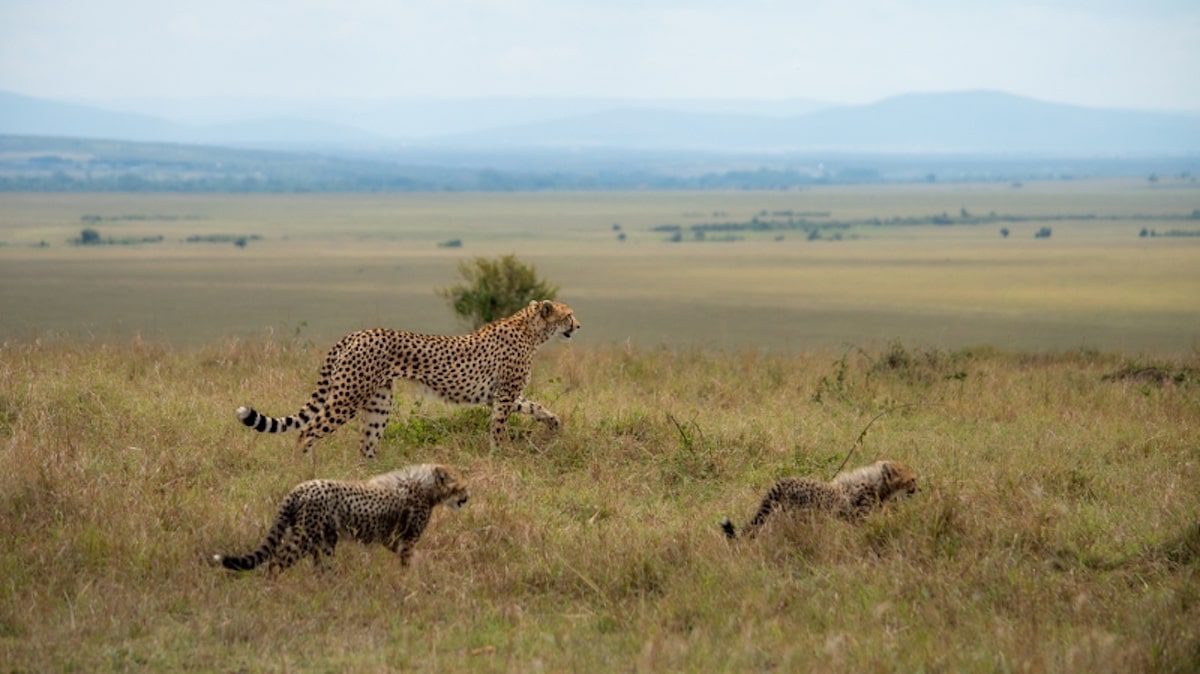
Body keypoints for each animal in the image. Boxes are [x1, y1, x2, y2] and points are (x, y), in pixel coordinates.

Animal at [213, 463, 469, 573]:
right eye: (462, 487)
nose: (468, 497)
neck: (427, 485)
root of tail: (300, 487)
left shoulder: (391, 538)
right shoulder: (407, 538)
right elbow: (408, 558)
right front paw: (411, 578)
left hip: (323, 539)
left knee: (320, 566)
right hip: (306, 536)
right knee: (277, 561)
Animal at [235, 299, 580, 456]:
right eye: (569, 314)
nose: (578, 326)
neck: (531, 329)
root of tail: (356, 333)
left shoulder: (501, 394)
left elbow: (536, 407)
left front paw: (554, 424)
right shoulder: (505, 394)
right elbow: (498, 427)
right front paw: (501, 454)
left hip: (379, 402)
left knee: (367, 443)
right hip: (348, 397)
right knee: (306, 432)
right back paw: (304, 469)